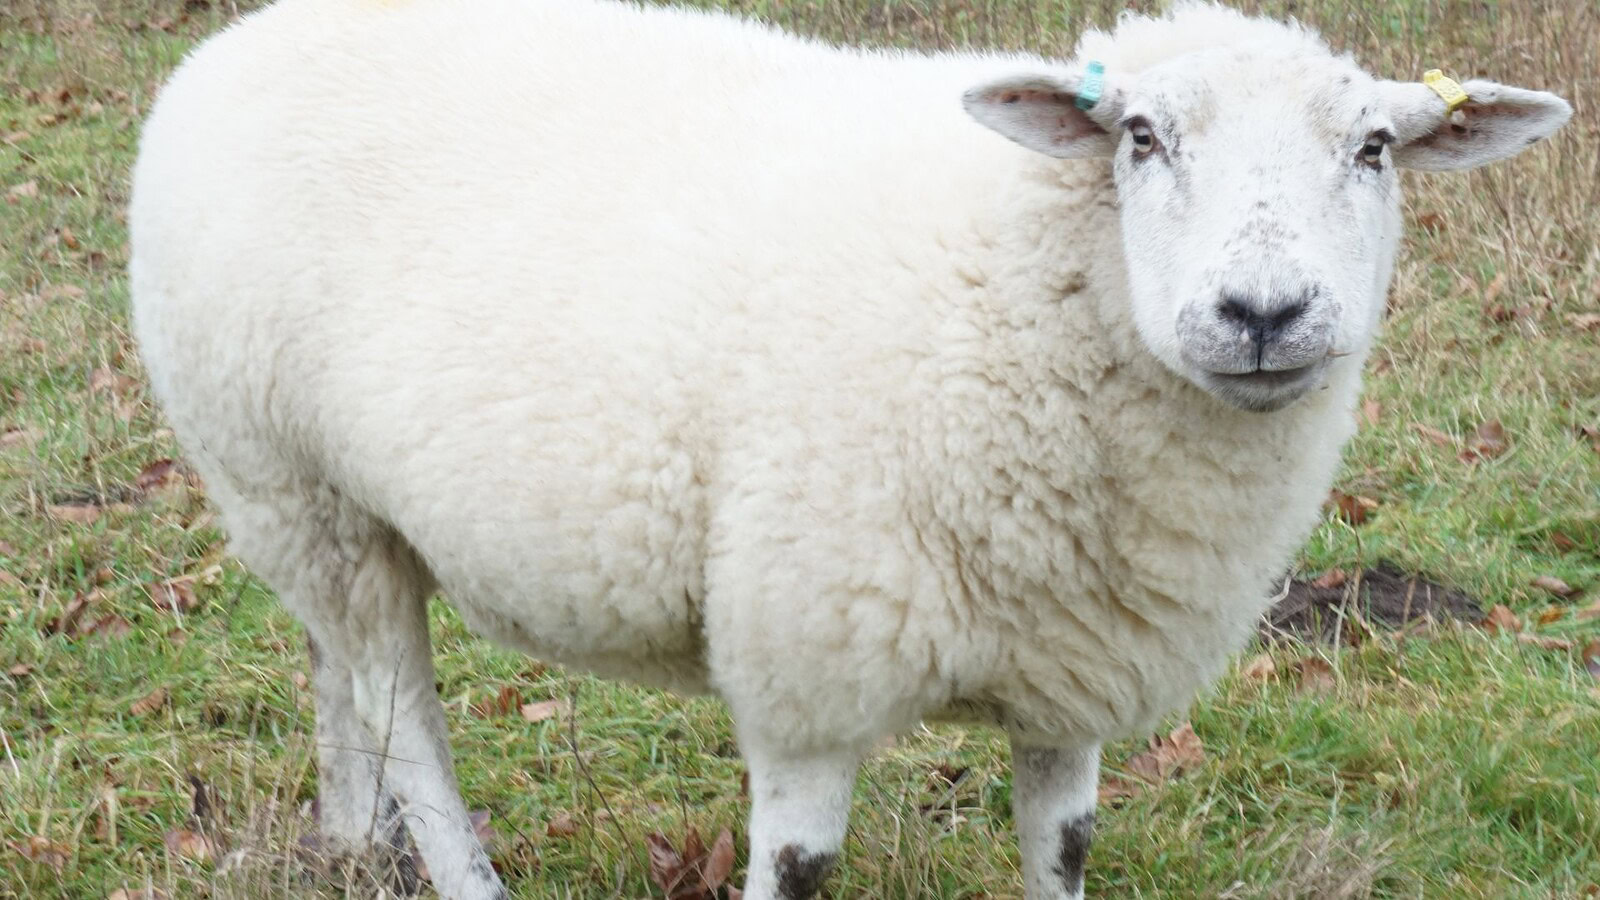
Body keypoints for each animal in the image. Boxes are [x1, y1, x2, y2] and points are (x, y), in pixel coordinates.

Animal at [127, 0, 1571, 896]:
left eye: (1375, 148)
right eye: (1139, 136)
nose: (1262, 315)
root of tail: (240, 40)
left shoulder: (1074, 666)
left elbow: (1063, 849)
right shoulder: (807, 653)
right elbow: (799, 868)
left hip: (335, 510)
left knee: (339, 672)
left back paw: (344, 842)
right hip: (281, 472)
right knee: (405, 715)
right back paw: (452, 869)